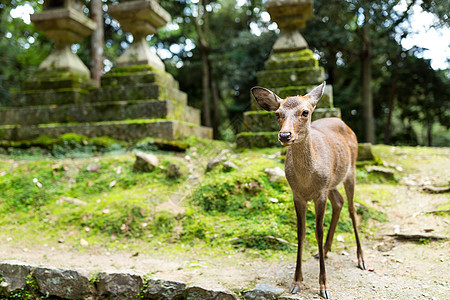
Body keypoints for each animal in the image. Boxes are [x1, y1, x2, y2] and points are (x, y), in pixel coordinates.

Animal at [251, 81, 364, 298]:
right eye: (277, 113)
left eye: (305, 112)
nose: (285, 135)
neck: (306, 181)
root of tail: (344, 123)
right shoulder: (297, 194)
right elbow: (300, 232)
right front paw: (296, 282)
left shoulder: (320, 194)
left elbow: (318, 231)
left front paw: (324, 286)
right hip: (331, 182)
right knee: (339, 202)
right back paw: (324, 251)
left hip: (351, 170)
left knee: (352, 209)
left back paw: (361, 260)